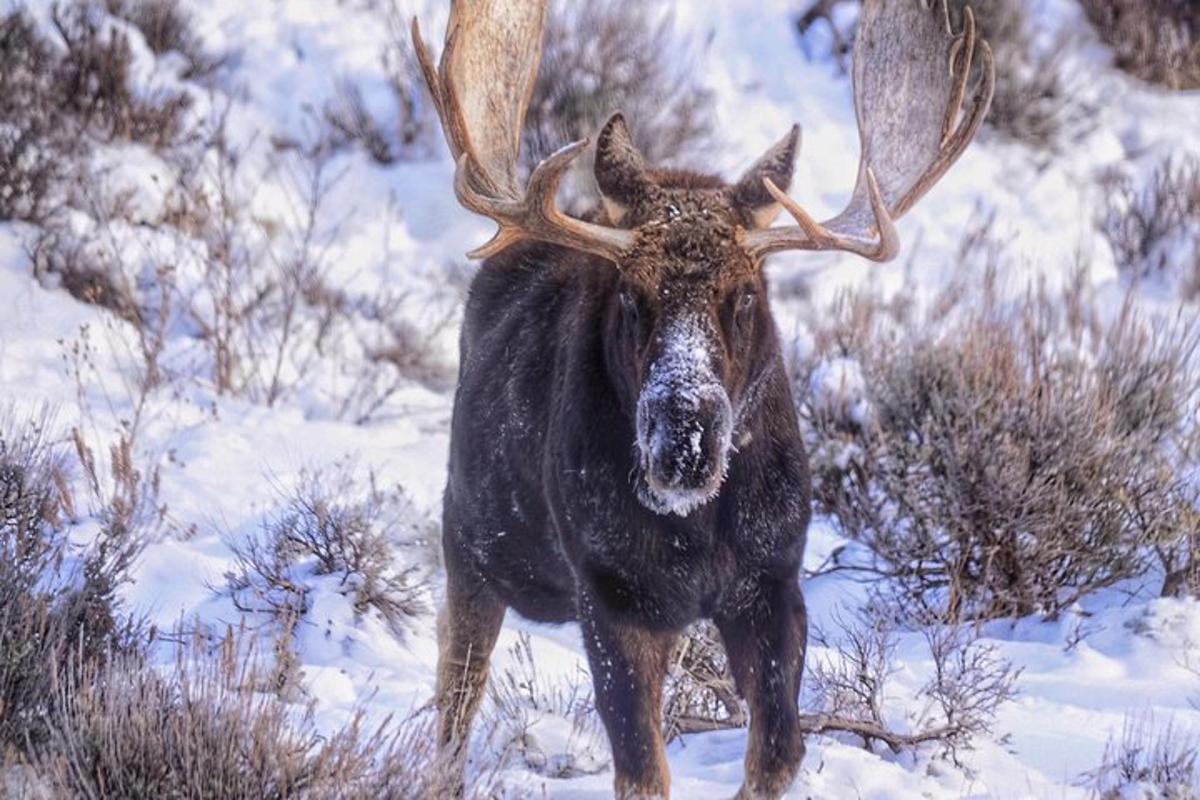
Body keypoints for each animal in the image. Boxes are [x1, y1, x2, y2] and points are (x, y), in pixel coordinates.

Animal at [412, 3, 993, 796]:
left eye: (745, 294)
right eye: (631, 294)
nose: (683, 434)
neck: (696, 535)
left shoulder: (771, 580)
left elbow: (779, 749)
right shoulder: (611, 595)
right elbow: (643, 768)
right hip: (473, 543)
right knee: (455, 695)